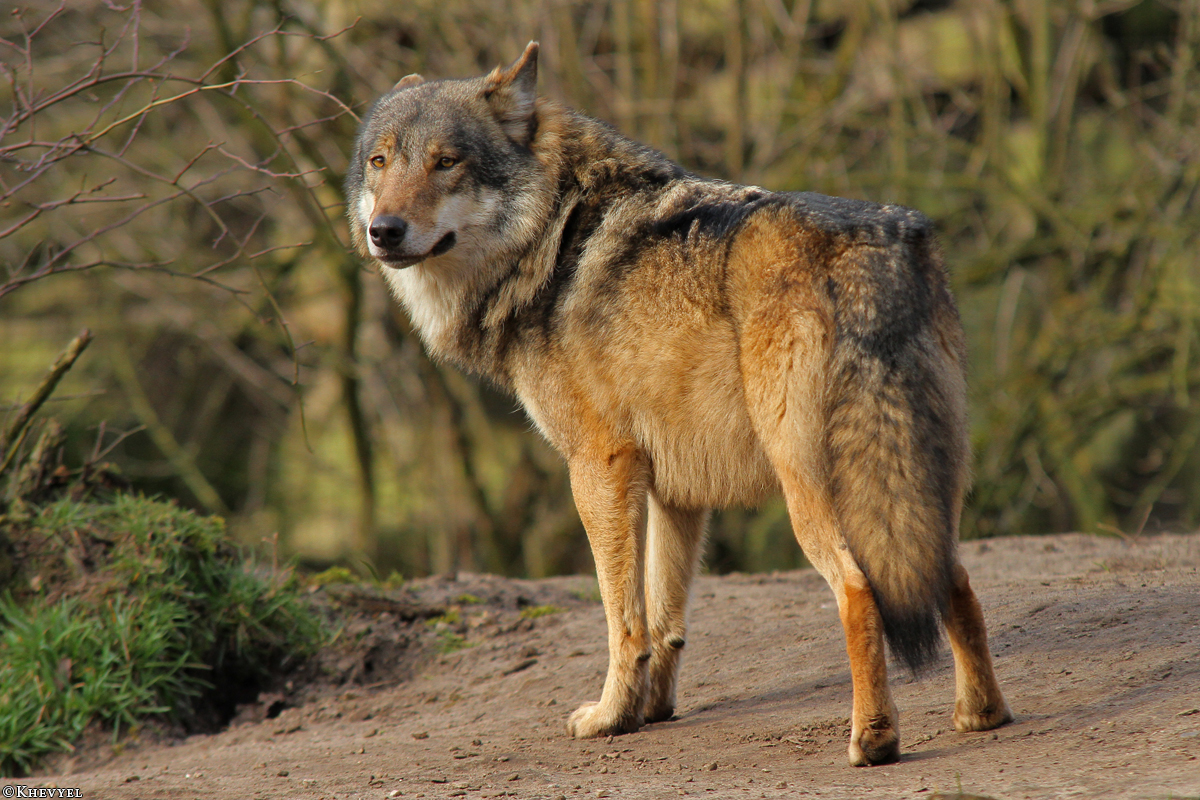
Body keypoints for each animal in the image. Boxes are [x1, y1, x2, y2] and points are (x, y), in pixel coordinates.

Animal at [345, 42, 1013, 766]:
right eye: (380, 161)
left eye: (446, 162)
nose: (384, 231)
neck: (554, 232)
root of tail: (867, 245)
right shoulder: (677, 488)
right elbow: (665, 618)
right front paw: (651, 710)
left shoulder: (599, 469)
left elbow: (622, 618)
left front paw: (610, 716)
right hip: (919, 485)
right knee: (955, 579)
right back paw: (981, 714)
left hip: (811, 490)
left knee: (859, 589)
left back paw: (873, 738)